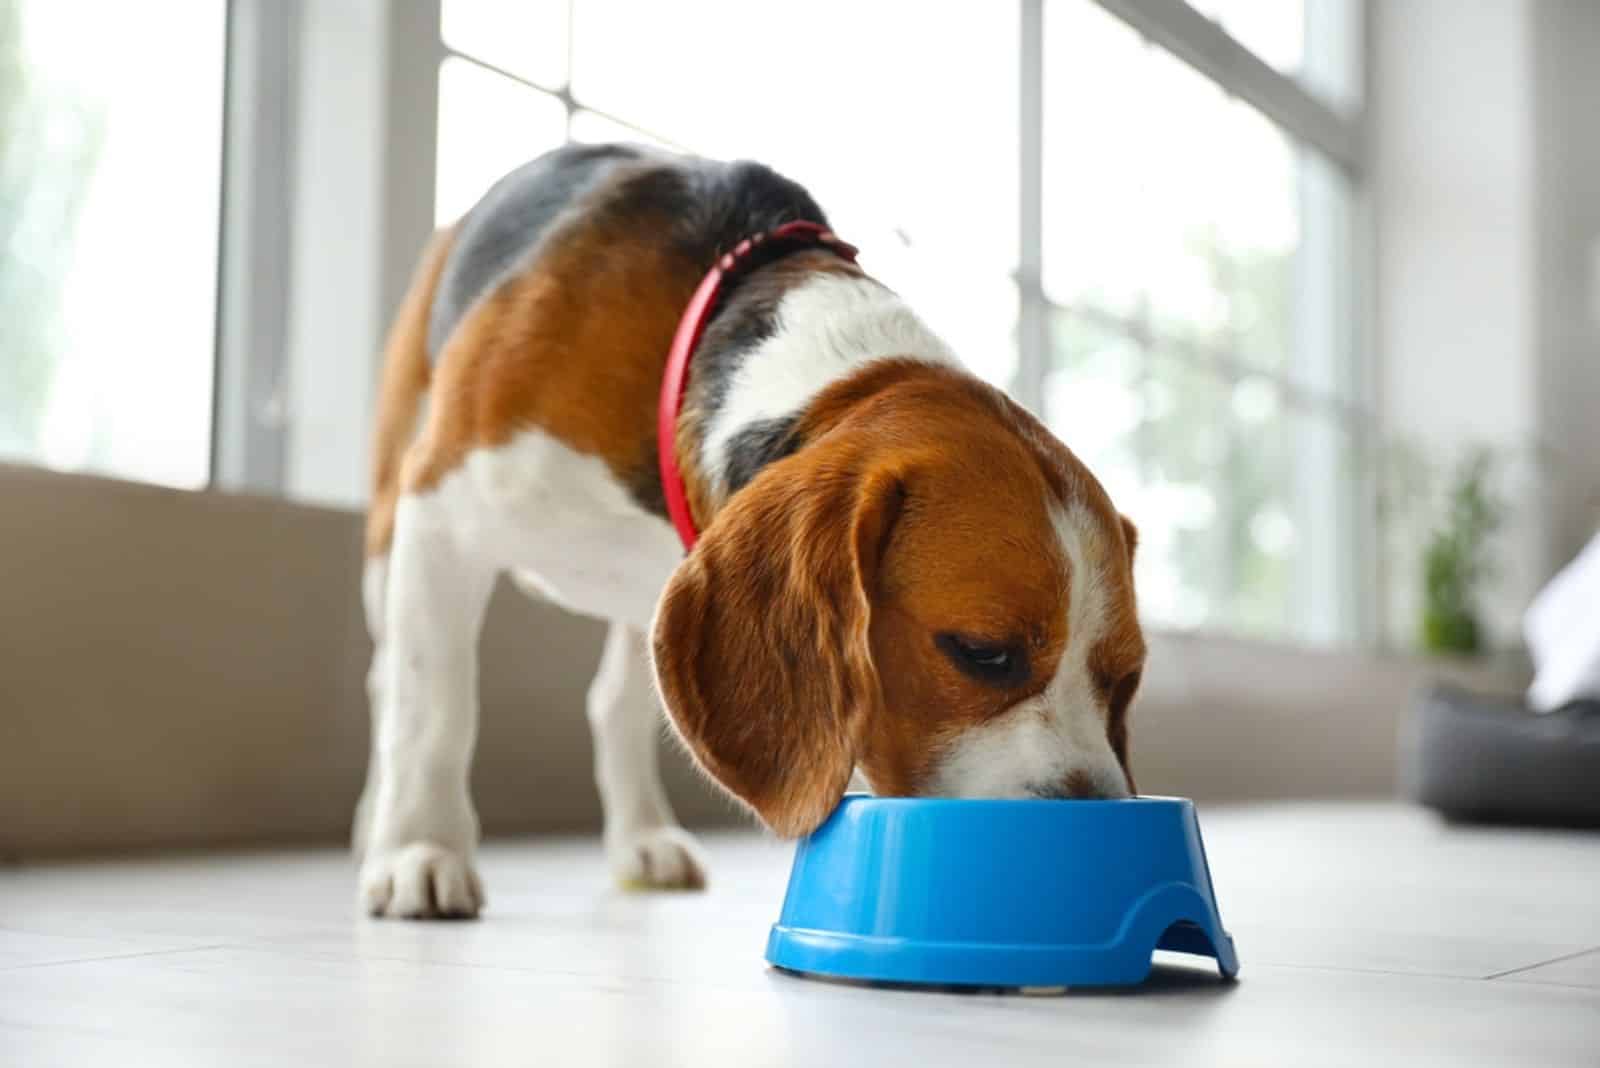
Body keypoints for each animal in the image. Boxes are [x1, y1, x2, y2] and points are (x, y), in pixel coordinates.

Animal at [356, 146, 1145, 920]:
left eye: (1125, 678)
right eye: (983, 654)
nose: (1094, 834)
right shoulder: (439, 511)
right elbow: (434, 708)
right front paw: (420, 851)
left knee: (614, 702)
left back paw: (643, 836)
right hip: (390, 527)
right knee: (388, 680)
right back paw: (380, 826)